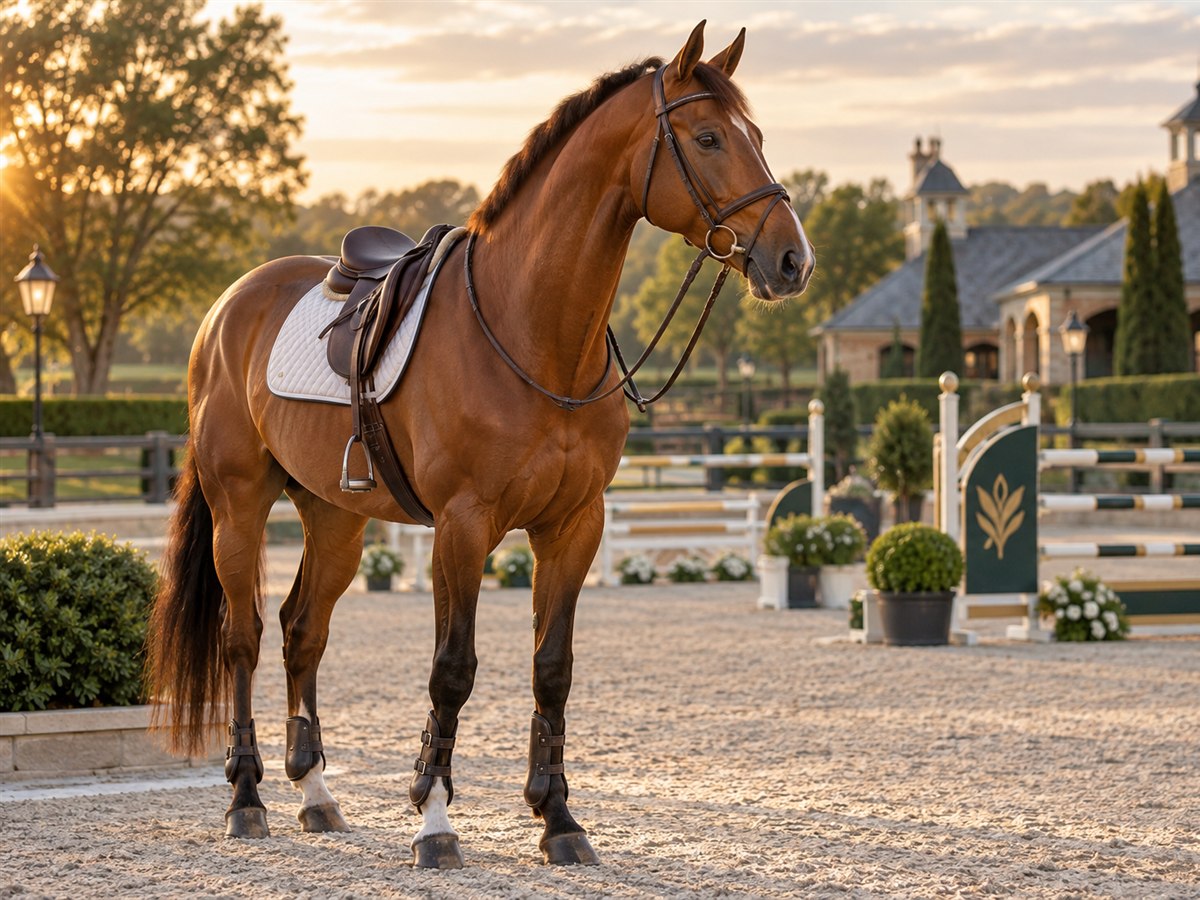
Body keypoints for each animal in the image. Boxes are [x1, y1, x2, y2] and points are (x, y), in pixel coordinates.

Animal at [145, 20, 813, 868]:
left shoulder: (573, 526)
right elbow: (452, 671)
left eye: (755, 135)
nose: (792, 260)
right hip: (239, 506)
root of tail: (228, 306)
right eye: (707, 138)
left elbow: (552, 669)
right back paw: (247, 798)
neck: (534, 335)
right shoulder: (463, 529)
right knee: (245, 638)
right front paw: (435, 822)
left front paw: (558, 818)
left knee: (304, 633)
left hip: (336, 518)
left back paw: (317, 794)